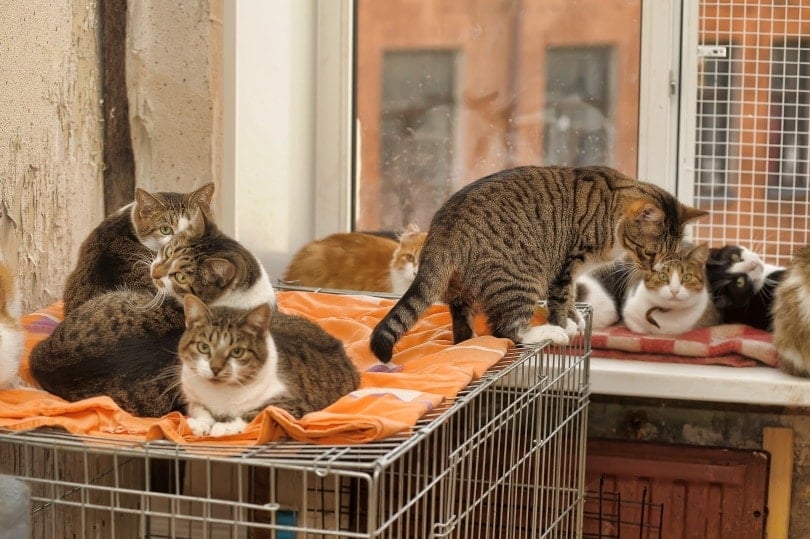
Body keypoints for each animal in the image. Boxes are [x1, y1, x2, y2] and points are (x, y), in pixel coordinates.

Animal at [181, 294, 362, 436]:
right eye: (204, 347)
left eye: (237, 352)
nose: (216, 368)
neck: (219, 394)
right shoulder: (192, 397)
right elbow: (199, 409)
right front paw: (200, 424)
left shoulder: (292, 407)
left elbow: (258, 413)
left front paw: (223, 428)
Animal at [370, 163, 704, 362]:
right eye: (650, 253)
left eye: (669, 255)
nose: (654, 269)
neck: (610, 212)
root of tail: (444, 225)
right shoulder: (565, 265)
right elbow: (560, 299)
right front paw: (564, 324)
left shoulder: (572, 273)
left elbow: (570, 299)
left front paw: (575, 318)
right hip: (520, 277)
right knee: (508, 330)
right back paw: (544, 333)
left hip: (464, 288)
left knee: (465, 326)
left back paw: (471, 343)